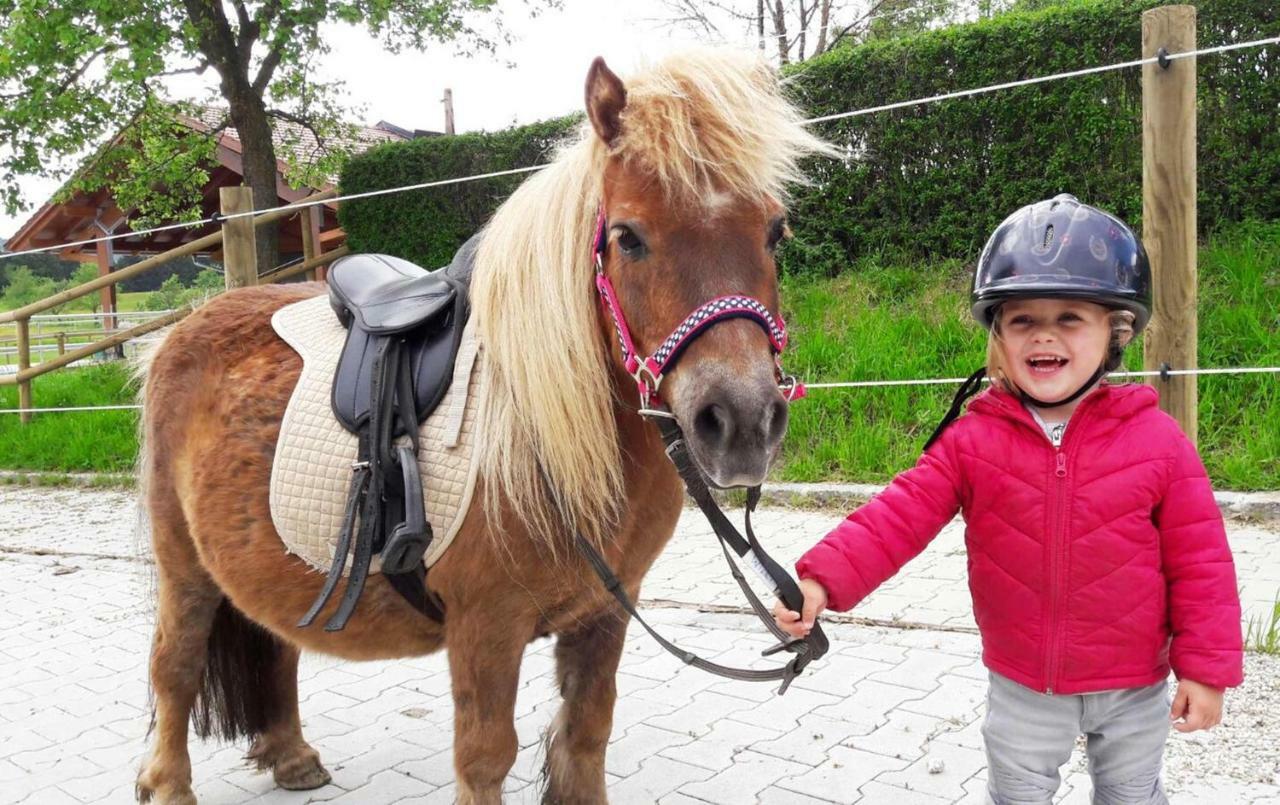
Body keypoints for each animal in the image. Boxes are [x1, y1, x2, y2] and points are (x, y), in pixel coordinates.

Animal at [129, 51, 829, 803]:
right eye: (628, 237)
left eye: (775, 230)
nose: (743, 421)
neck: (544, 428)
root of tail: (182, 330)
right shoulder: (486, 626)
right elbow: (487, 755)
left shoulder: (605, 613)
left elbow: (586, 736)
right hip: (184, 567)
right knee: (173, 663)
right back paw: (168, 783)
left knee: (274, 642)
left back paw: (291, 756)